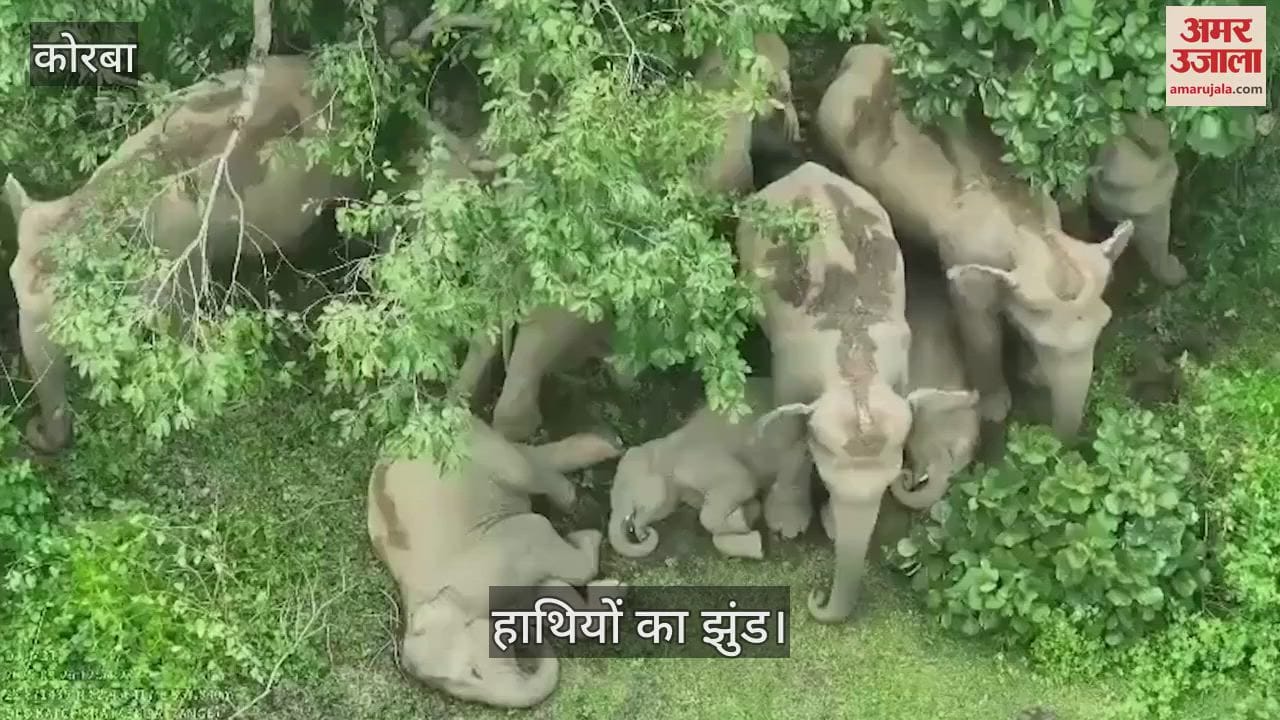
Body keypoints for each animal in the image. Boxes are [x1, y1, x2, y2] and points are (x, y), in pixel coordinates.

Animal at [369, 416, 625, 708]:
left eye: (474, 673)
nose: (531, 642)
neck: (418, 601)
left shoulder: (505, 552)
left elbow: (544, 535)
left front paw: (588, 534)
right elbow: (548, 592)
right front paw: (611, 589)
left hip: (481, 450)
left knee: (526, 467)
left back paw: (594, 467)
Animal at [606, 377, 797, 561]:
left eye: (625, 490)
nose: (644, 534)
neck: (663, 448)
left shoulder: (696, 462)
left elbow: (742, 482)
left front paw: (742, 523)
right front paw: (748, 518)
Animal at [735, 159, 959, 622]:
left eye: (891, 479)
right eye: (826, 480)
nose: (815, 598)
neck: (855, 374)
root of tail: (805, 167)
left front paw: (835, 529)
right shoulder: (791, 365)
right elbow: (790, 435)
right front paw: (788, 526)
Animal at [815, 44, 1134, 441]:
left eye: (1104, 326)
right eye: (1043, 343)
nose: (1064, 439)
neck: (1030, 230)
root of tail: (858, 54)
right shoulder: (963, 261)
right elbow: (981, 331)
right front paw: (996, 409)